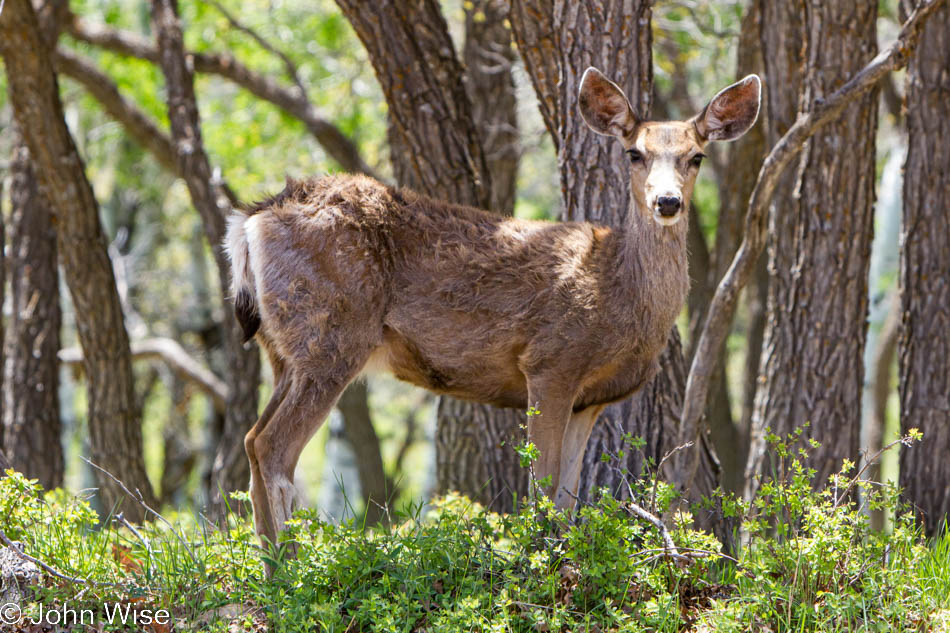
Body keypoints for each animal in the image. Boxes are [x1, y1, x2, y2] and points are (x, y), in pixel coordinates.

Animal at [225, 66, 768, 544]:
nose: (668, 203)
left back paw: (271, 562)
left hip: (286, 349)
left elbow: (567, 497)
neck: (619, 291)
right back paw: (290, 571)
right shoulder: (551, 361)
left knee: (252, 441)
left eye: (696, 157)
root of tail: (251, 220)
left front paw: (559, 558)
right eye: (634, 153)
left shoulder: (589, 399)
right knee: (273, 448)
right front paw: (541, 565)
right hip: (333, 335)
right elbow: (542, 488)